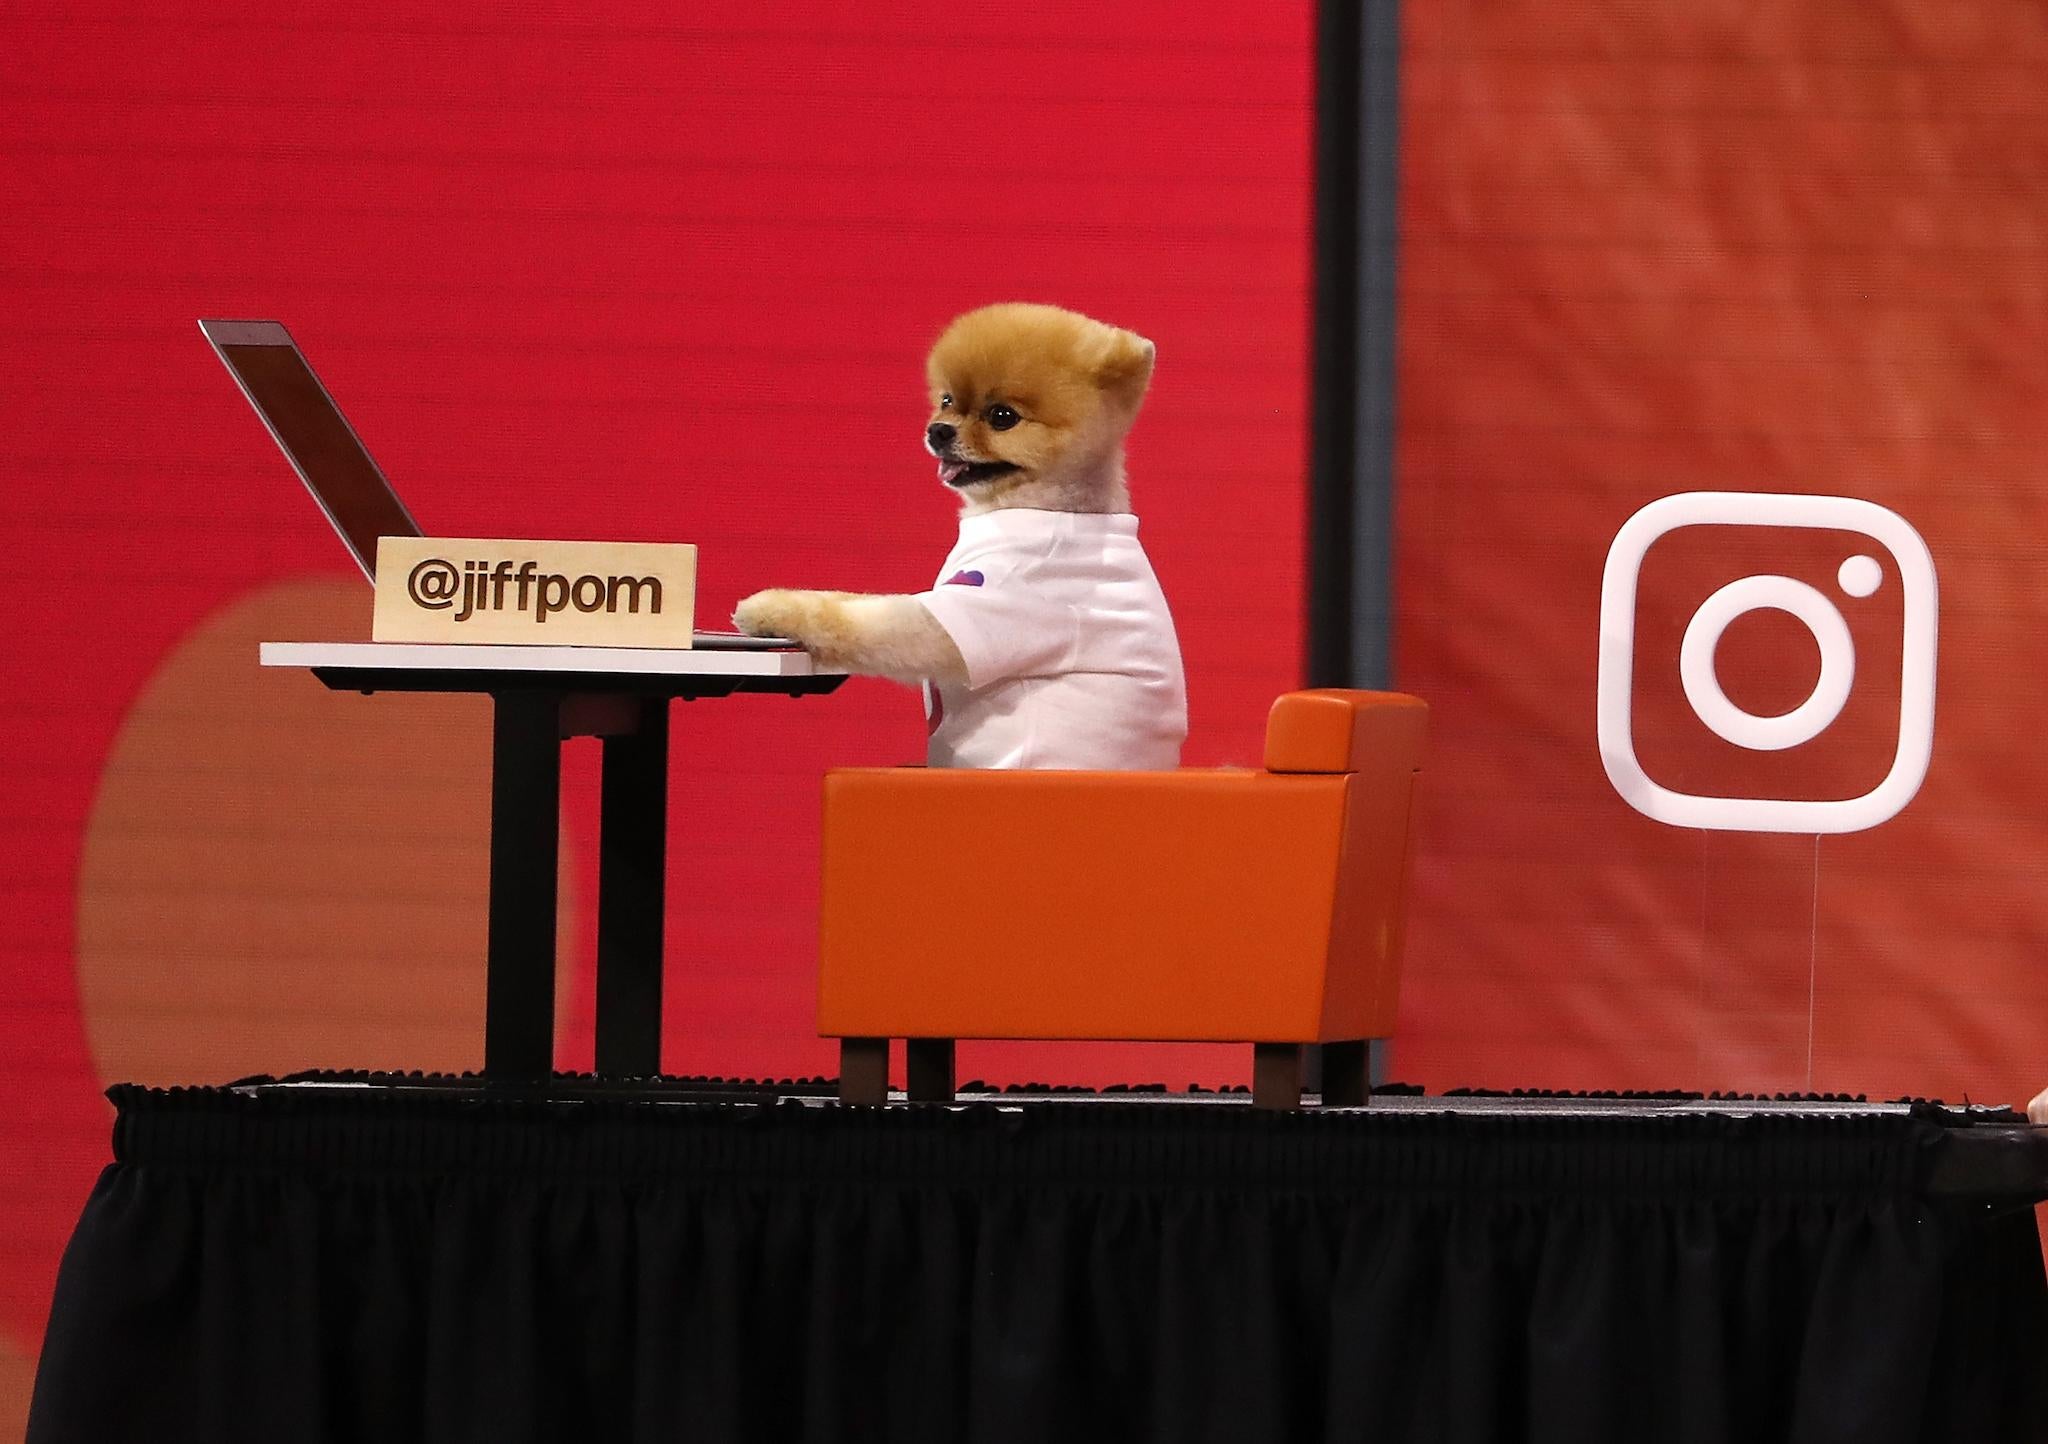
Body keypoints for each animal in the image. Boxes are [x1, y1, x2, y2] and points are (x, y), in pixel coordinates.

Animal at [733, 303, 1187, 770]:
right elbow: (851, 599)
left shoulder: (985, 607)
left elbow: (861, 620)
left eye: (1002, 417)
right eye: (947, 400)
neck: (1045, 506)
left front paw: (770, 608)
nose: (938, 430)